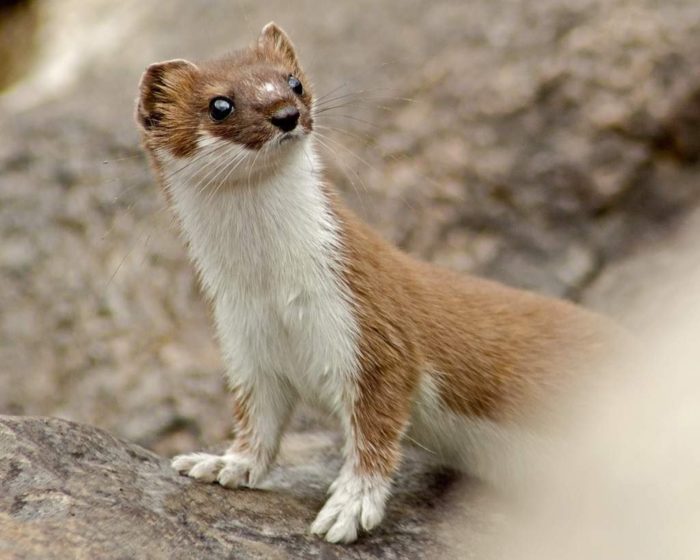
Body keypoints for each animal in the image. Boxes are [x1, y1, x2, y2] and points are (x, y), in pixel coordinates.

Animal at [135, 21, 624, 544]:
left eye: (294, 81)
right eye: (219, 104)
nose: (286, 115)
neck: (272, 290)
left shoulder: (371, 324)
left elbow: (376, 431)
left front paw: (349, 506)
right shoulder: (244, 342)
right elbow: (258, 422)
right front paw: (222, 464)